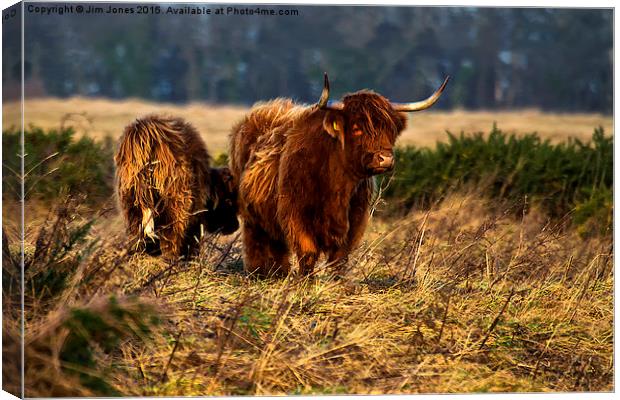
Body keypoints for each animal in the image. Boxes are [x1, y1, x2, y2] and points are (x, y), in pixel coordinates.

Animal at [115, 115, 239, 260]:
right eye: (228, 200)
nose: (235, 226)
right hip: (176, 200)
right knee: (172, 233)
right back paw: (172, 257)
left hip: (130, 201)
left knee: (137, 232)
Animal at [230, 73, 448, 276]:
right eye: (357, 129)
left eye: (390, 129)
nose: (385, 159)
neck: (337, 187)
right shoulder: (296, 216)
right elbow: (308, 253)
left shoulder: (354, 221)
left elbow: (339, 258)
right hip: (251, 218)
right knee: (256, 243)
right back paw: (258, 273)